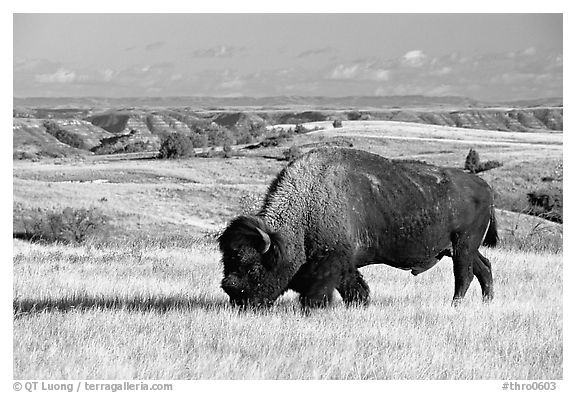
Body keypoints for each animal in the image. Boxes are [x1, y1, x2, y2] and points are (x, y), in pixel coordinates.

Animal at [218, 147, 498, 306]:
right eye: (227, 261)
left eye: (253, 266)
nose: (235, 296)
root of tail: (484, 186)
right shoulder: (345, 264)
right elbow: (355, 288)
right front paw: (361, 304)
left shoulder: (331, 262)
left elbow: (321, 292)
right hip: (457, 248)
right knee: (484, 267)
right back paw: (487, 302)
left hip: (463, 245)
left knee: (464, 274)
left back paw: (456, 304)